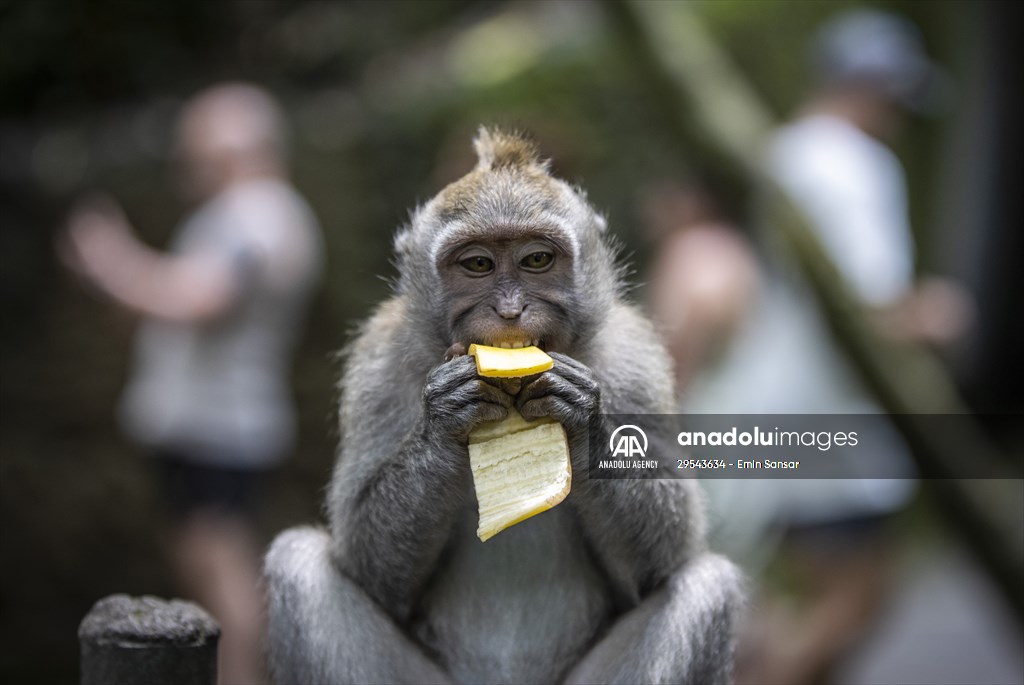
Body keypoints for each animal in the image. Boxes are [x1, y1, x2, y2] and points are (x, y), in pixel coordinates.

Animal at [264, 128, 743, 684]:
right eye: (477, 264)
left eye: (537, 260)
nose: (510, 310)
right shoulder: (377, 366)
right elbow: (371, 570)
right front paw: (445, 420)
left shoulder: (636, 362)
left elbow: (665, 560)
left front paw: (582, 417)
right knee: (299, 566)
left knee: (704, 584)